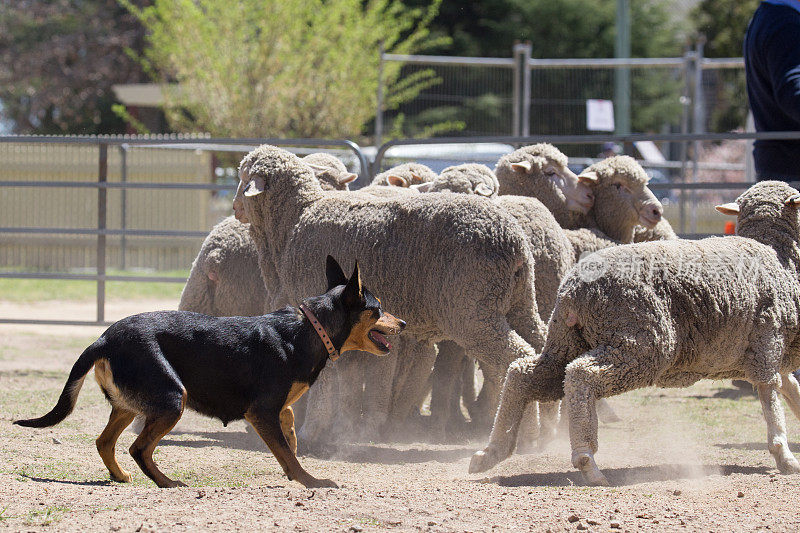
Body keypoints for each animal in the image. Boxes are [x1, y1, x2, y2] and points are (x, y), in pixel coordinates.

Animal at [14, 256, 406, 488]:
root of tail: (104, 338)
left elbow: (290, 431)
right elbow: (285, 451)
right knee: (139, 448)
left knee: (104, 442)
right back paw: (168, 483)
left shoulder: (276, 408)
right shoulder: (261, 411)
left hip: (129, 405)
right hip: (172, 398)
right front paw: (309, 480)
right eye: (378, 309)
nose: (402, 323)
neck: (310, 329)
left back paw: (121, 476)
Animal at [472, 181, 800, 484]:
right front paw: (784, 456)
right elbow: (771, 396)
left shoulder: (772, 354)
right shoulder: (767, 343)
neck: (778, 257)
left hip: (566, 341)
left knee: (523, 375)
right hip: (638, 344)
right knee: (581, 375)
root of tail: (576, 288)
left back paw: (492, 451)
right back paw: (587, 461)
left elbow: (790, 388)